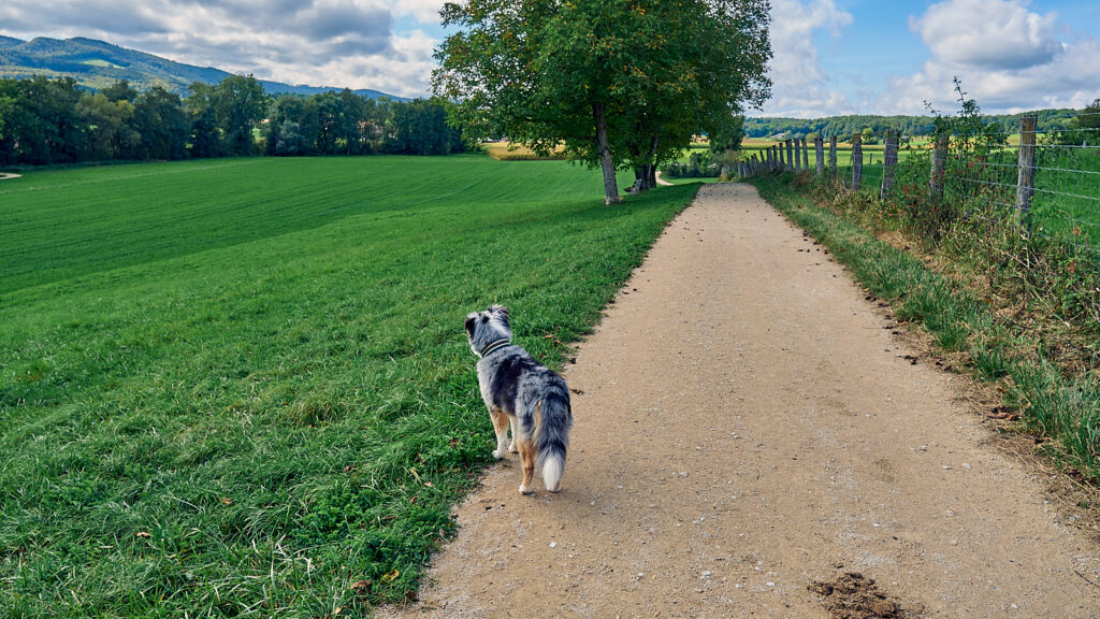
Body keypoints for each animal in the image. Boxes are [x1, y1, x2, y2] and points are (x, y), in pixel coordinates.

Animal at [466, 305, 576, 494]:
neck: (496, 347)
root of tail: (550, 389)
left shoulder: (495, 409)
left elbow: (501, 436)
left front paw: (500, 453)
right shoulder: (513, 411)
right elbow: (513, 430)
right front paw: (512, 449)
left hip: (529, 433)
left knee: (529, 465)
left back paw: (525, 488)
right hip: (560, 427)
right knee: (558, 458)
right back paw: (555, 486)